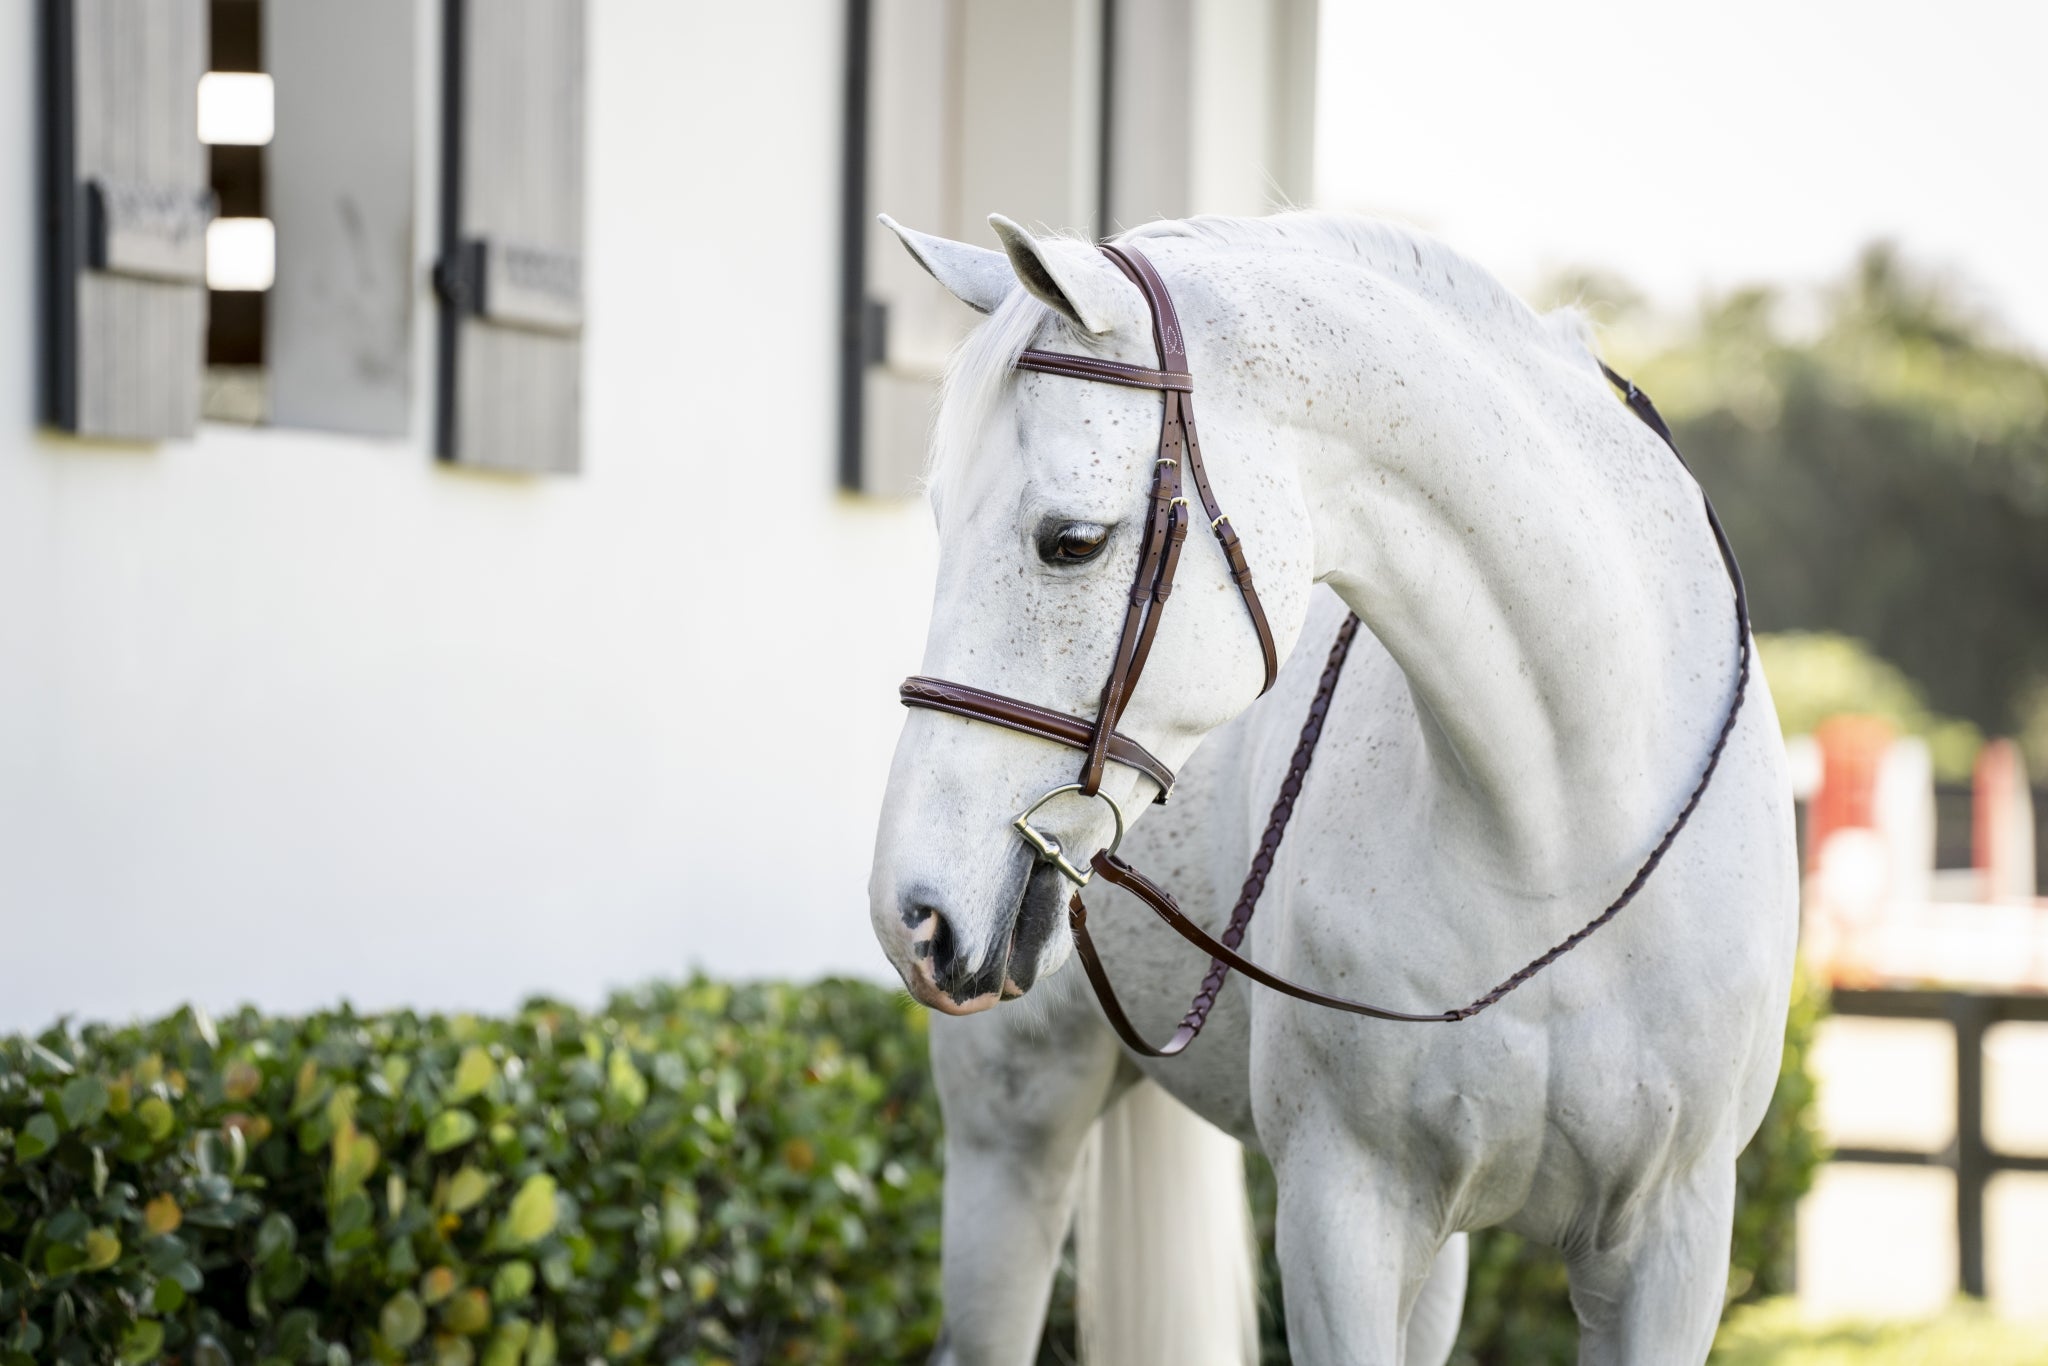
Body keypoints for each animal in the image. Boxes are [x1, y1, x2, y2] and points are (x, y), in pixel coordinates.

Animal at [865, 209, 1798, 1365]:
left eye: (1070, 542)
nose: (913, 913)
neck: (1558, 844)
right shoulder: (1343, 1215)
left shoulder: (1670, 1247)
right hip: (1013, 1136)